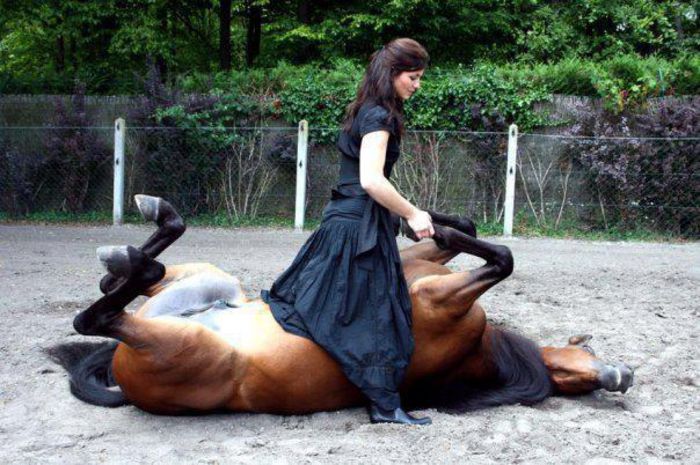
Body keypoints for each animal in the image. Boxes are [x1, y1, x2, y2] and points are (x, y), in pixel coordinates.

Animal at [49, 195, 633, 416]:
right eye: (586, 359)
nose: (621, 376)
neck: (481, 352)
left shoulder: (439, 300)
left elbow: (505, 256)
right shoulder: (421, 273)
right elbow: (462, 233)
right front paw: (424, 220)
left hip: (183, 344)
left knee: (99, 314)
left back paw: (129, 256)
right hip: (213, 282)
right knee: (115, 289)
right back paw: (140, 239)